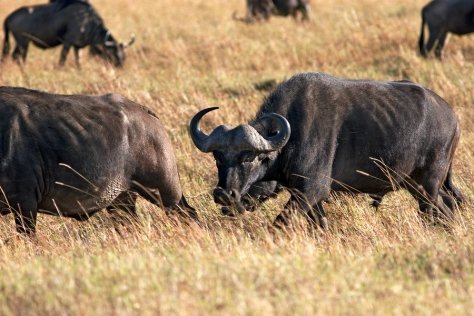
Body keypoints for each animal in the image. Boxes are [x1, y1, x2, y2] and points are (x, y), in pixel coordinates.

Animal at [2, 0, 135, 66]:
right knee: (19, 57)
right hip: (23, 43)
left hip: (20, 43)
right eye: (112, 54)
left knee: (14, 56)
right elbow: (62, 60)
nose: (120, 66)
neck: (87, 22)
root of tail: (10, 16)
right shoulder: (67, 43)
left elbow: (78, 63)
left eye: (124, 55)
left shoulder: (78, 47)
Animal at [191, 73, 464, 228]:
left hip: (428, 185)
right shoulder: (310, 198)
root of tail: (452, 116)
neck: (293, 133)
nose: (224, 195)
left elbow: (280, 224)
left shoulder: (310, 191)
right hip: (415, 185)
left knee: (444, 209)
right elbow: (321, 225)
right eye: (217, 157)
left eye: (249, 157)